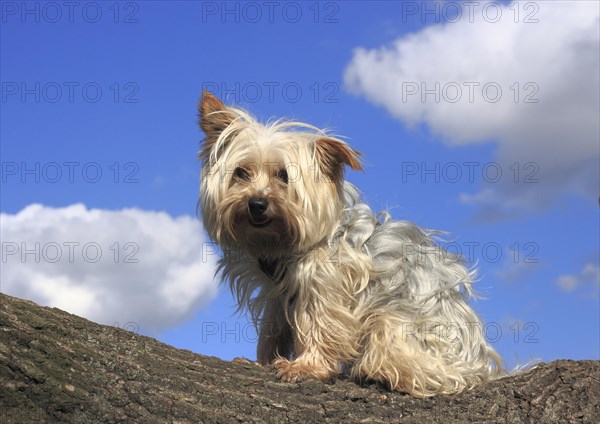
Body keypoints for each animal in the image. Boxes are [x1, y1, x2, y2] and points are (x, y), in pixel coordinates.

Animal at [199, 90, 504, 398]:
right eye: (241, 173)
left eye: (284, 176)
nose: (257, 204)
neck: (280, 242)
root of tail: (478, 363)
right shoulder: (278, 291)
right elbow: (273, 327)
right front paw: (263, 360)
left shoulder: (326, 282)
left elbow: (319, 323)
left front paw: (307, 367)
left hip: (395, 318)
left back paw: (382, 373)